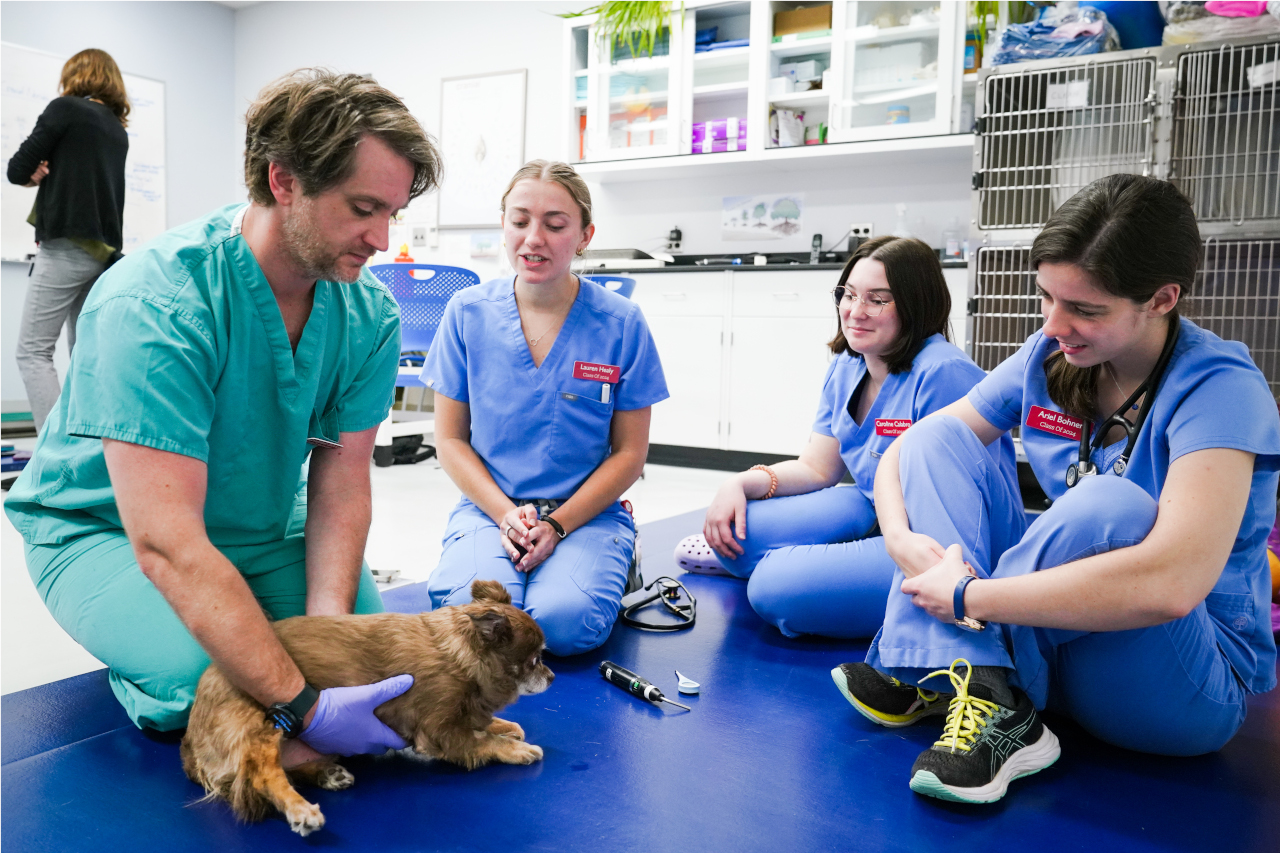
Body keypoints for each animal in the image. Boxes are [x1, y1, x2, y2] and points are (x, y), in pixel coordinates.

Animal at [179, 578, 550, 829]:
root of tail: (190, 742)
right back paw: (300, 809)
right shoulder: (440, 731)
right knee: (263, 775)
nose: (551, 676)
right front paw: (515, 748)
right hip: (264, 723)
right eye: (534, 660)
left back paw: (327, 773)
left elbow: (482, 722)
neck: (461, 652)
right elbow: (483, 740)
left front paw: (505, 725)